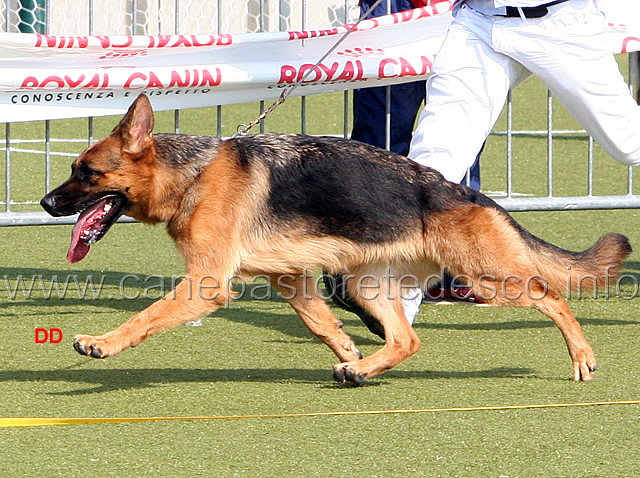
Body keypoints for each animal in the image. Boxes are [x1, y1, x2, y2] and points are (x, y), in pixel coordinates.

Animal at [42, 93, 632, 384]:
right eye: (71, 169)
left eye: (86, 173)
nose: (46, 204)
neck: (193, 174)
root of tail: (466, 192)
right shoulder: (292, 279)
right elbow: (322, 324)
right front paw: (347, 348)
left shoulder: (206, 285)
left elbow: (144, 317)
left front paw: (102, 343)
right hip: (363, 284)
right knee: (406, 339)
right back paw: (359, 369)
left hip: (489, 277)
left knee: (552, 298)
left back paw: (582, 357)